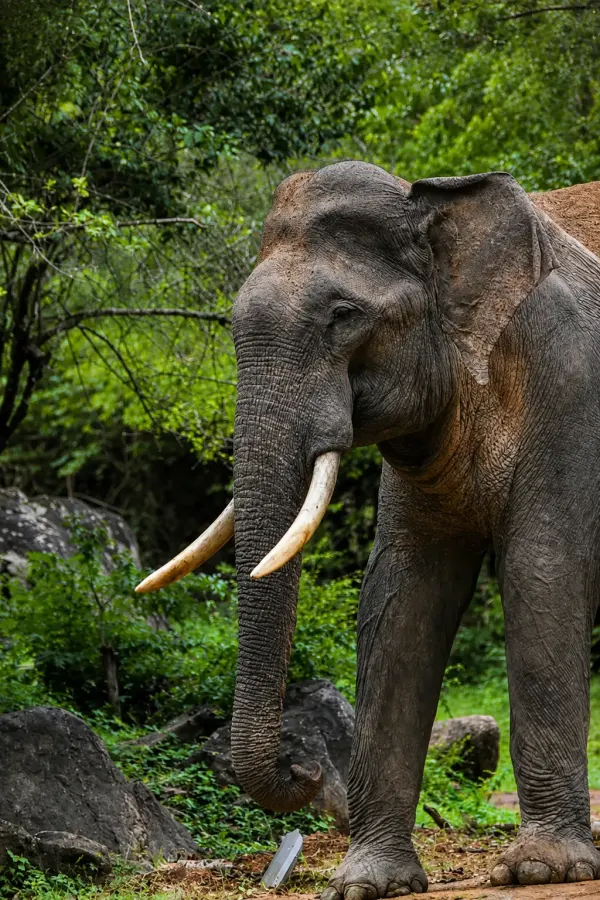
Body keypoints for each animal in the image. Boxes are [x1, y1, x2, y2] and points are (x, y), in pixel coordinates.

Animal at [137, 163, 600, 896]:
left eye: (344, 317)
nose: (303, 766)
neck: (433, 207)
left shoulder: (570, 383)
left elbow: (543, 571)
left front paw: (542, 869)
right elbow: (402, 593)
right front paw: (366, 883)